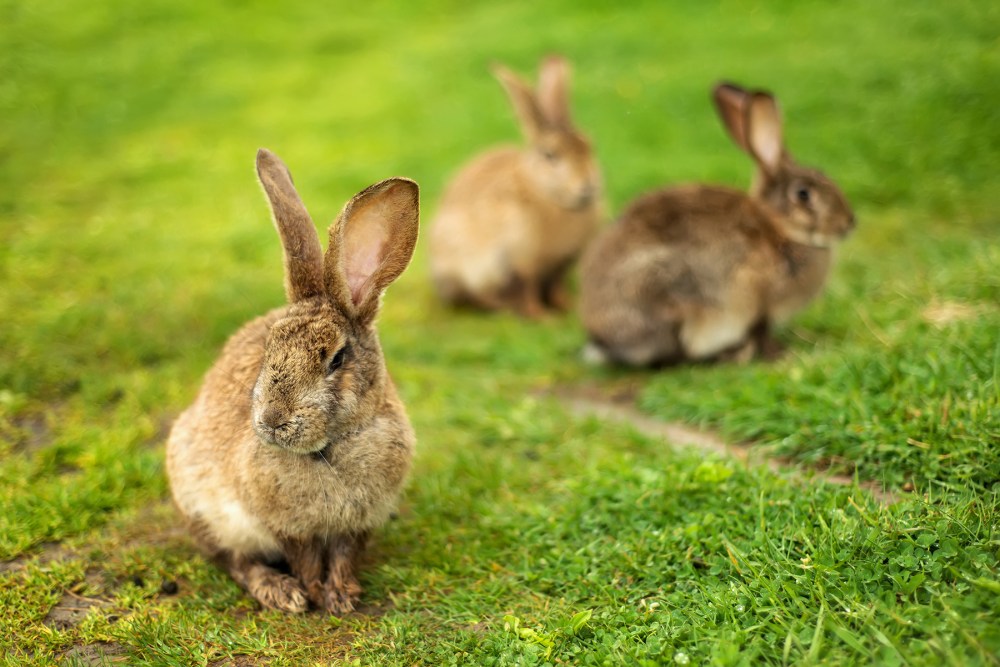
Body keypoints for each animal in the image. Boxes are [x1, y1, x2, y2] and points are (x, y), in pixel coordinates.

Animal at [166, 148, 419, 614]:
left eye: (337, 358)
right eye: (270, 348)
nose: (272, 421)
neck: (330, 448)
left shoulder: (358, 524)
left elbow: (343, 556)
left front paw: (342, 596)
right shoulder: (286, 527)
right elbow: (304, 560)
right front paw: (314, 594)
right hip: (201, 509)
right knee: (234, 561)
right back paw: (278, 591)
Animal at [429, 55, 604, 318]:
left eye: (588, 147)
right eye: (550, 155)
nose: (588, 186)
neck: (547, 196)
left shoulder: (560, 267)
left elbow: (557, 288)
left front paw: (570, 308)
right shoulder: (518, 262)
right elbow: (526, 290)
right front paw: (543, 318)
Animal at [579, 82, 855, 367]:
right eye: (803, 194)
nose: (848, 223)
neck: (780, 227)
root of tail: (602, 340)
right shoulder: (755, 297)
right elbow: (760, 329)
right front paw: (778, 353)